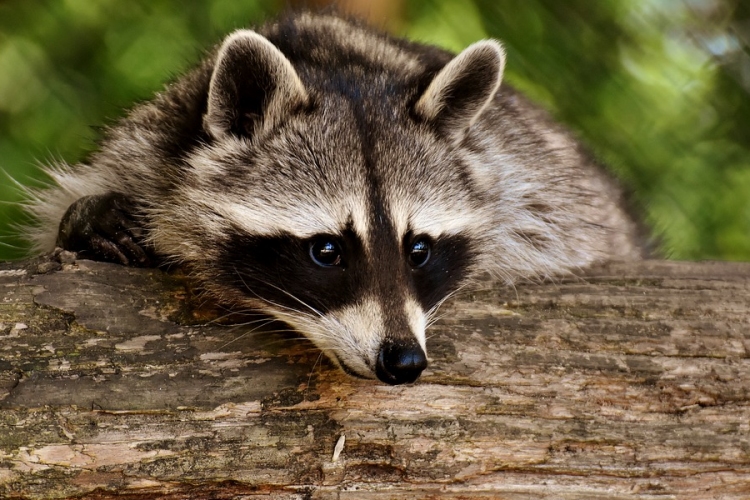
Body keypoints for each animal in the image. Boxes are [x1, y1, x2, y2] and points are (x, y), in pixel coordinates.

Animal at [26, 12, 644, 386]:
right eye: (326, 251)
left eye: (418, 249)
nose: (404, 362)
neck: (335, 64)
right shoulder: (145, 146)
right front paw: (88, 220)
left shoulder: (530, 184)